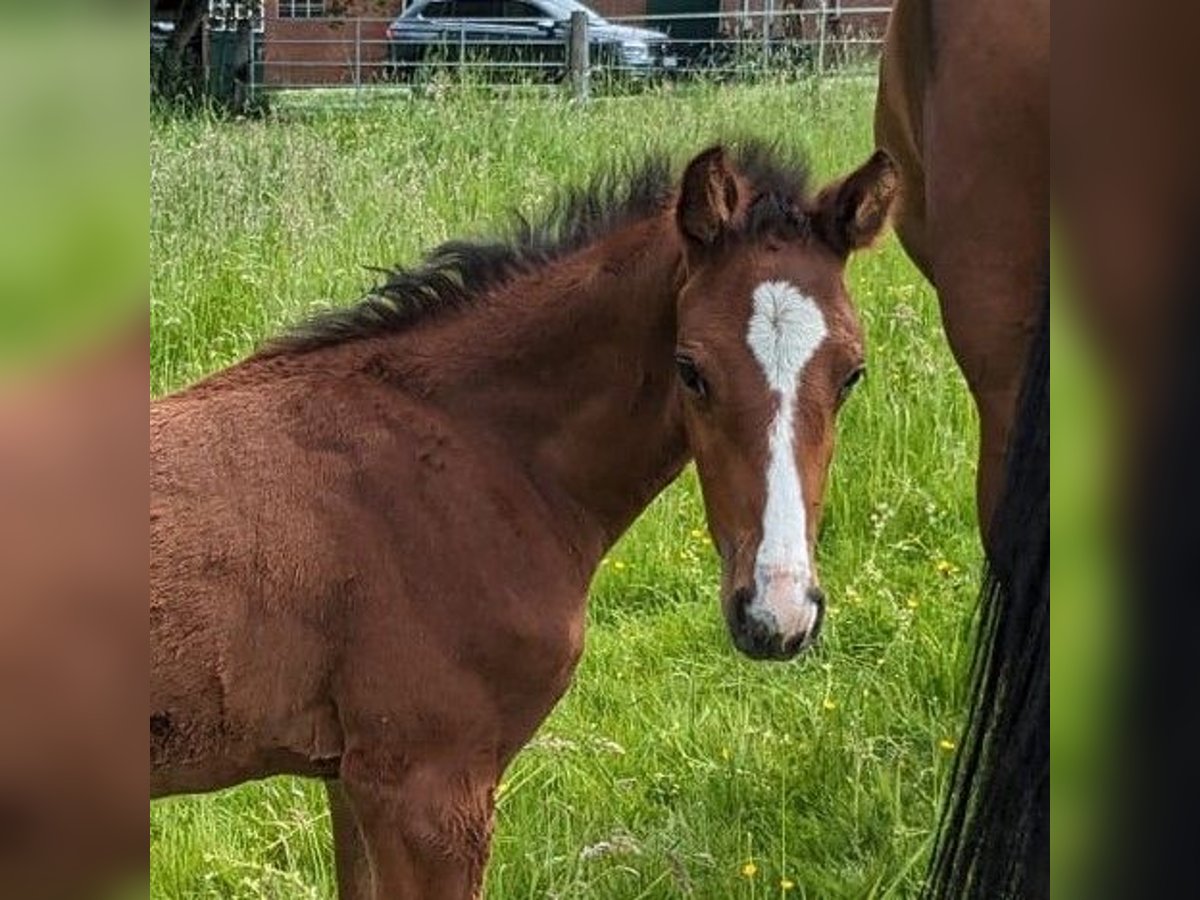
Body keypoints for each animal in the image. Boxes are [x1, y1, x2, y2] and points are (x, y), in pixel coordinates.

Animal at [150, 144, 897, 897]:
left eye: (853, 373)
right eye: (691, 369)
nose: (777, 615)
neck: (477, 453)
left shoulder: (352, 778)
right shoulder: (425, 786)